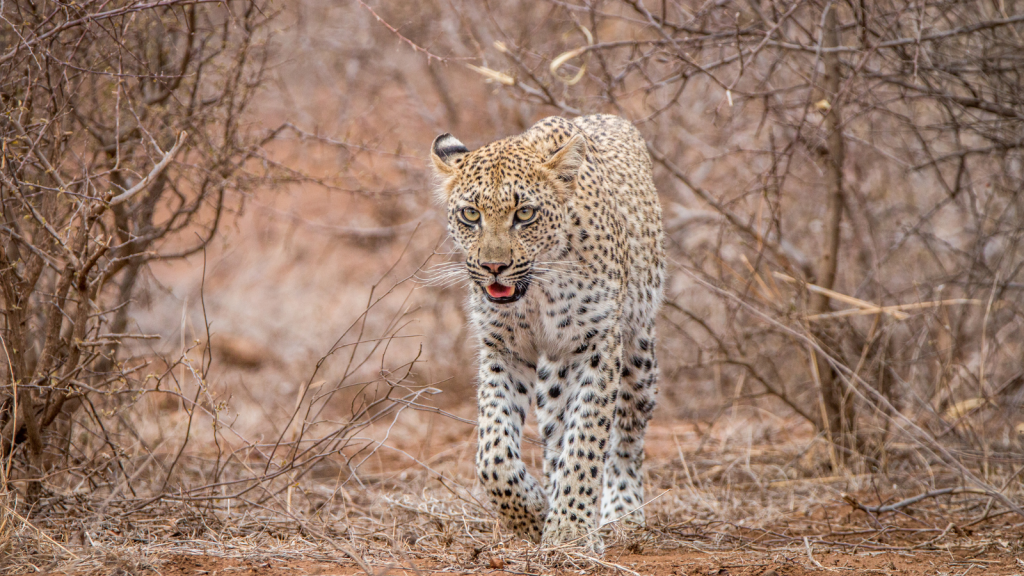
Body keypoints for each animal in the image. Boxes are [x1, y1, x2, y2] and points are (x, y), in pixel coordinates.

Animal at [430, 113, 663, 553]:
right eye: (470, 214)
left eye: (525, 214)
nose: (493, 267)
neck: (537, 290)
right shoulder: (503, 350)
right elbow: (493, 453)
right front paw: (534, 511)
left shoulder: (597, 347)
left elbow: (587, 439)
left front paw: (570, 528)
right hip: (554, 373)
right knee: (556, 432)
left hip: (639, 352)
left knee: (626, 435)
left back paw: (622, 513)